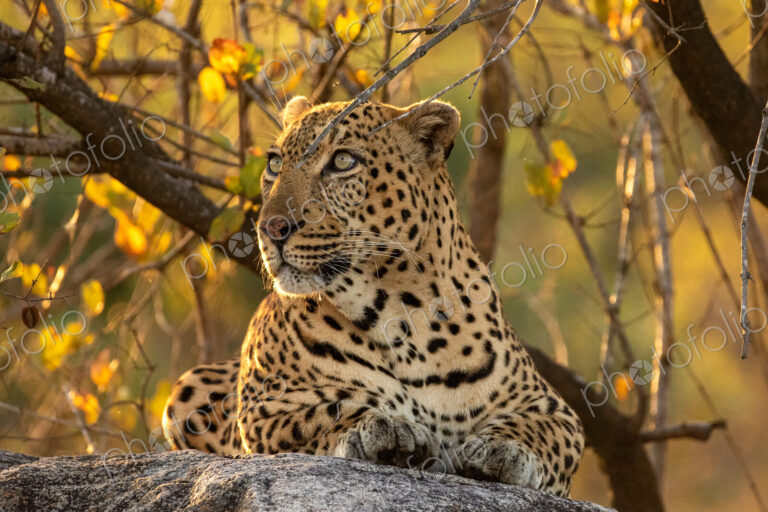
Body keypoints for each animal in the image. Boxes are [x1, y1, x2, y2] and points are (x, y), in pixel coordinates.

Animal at [162, 96, 584, 496]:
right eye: (275, 163)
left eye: (343, 161)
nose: (271, 228)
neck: (404, 311)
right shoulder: (264, 408)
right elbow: (321, 412)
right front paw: (382, 428)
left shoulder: (552, 407)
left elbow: (543, 432)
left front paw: (504, 450)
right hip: (189, 386)